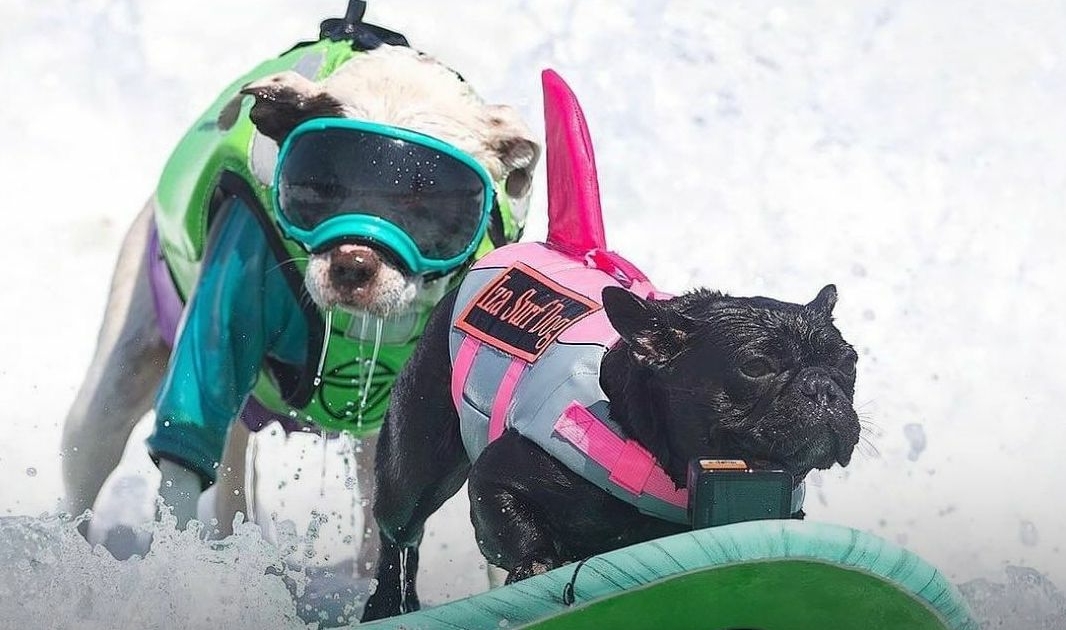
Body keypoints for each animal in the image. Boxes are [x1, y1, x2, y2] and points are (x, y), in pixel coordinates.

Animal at [59, 19, 541, 575]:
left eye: (429, 197)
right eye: (320, 183)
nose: (354, 263)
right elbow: (185, 448)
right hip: (120, 370)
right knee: (97, 437)